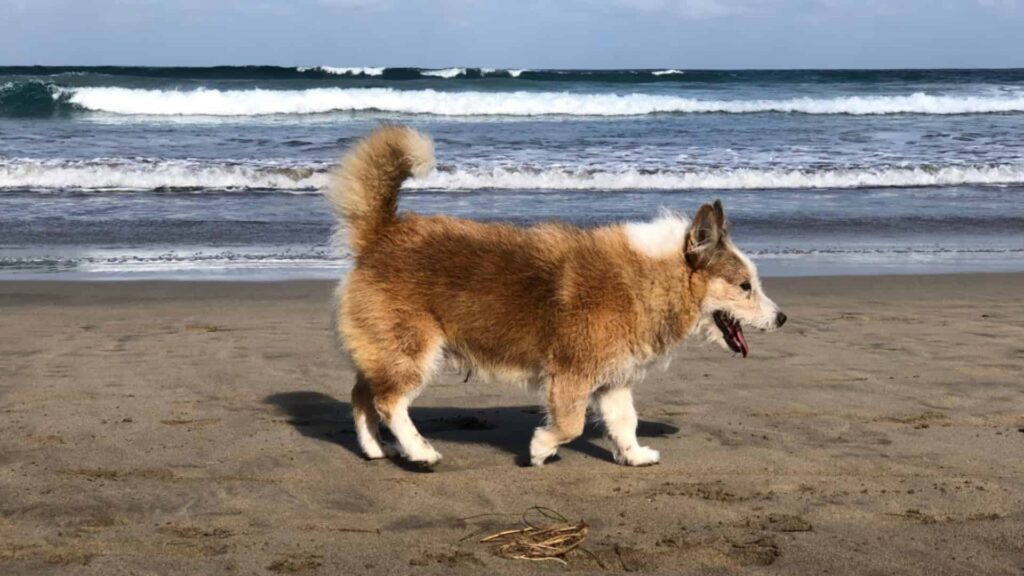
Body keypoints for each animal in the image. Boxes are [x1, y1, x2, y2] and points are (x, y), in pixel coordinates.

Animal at [325, 125, 782, 467]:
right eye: (745, 286)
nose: (782, 319)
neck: (649, 278)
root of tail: (381, 234)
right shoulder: (571, 376)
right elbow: (570, 425)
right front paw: (541, 448)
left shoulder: (613, 382)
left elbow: (625, 422)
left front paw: (634, 455)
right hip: (413, 350)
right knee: (389, 402)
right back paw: (419, 451)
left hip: (385, 352)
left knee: (362, 395)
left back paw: (374, 448)